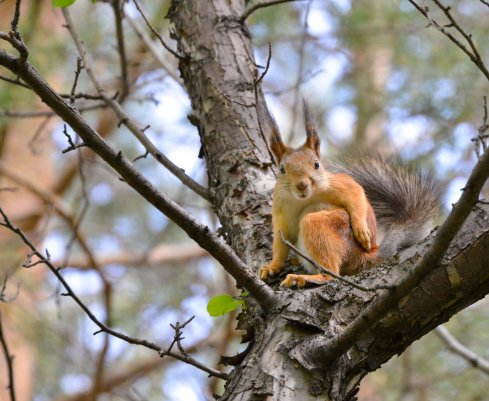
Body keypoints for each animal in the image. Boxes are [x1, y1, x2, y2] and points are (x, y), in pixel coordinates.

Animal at [258, 101, 440, 288]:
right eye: (282, 169)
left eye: (316, 164)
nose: (301, 184)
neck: (303, 199)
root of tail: (364, 256)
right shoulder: (280, 208)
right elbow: (281, 241)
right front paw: (272, 267)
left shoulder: (338, 183)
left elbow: (356, 195)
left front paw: (361, 231)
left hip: (326, 226)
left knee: (331, 273)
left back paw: (304, 277)